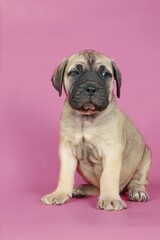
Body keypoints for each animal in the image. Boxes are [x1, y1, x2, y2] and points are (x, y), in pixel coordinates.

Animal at [41, 49, 151, 211]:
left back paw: (137, 192)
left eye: (105, 74)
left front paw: (110, 199)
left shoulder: (111, 150)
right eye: (75, 72)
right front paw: (59, 194)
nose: (91, 89)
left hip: (146, 157)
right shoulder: (67, 150)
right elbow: (65, 175)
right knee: (97, 187)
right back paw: (80, 189)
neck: (87, 118)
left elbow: (108, 176)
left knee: (136, 182)